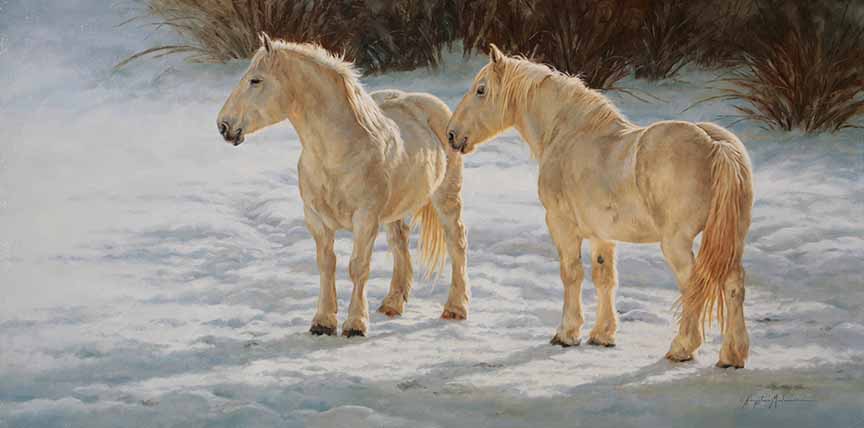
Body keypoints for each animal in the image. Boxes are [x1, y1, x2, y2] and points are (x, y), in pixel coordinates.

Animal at [217, 34, 470, 338]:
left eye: (255, 80)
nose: (223, 126)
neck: (338, 151)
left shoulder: (365, 219)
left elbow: (358, 267)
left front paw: (355, 324)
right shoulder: (316, 219)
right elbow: (327, 264)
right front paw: (323, 321)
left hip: (446, 196)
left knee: (457, 241)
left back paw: (455, 308)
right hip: (394, 212)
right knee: (400, 243)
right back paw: (392, 304)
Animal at [446, 45, 754, 368]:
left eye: (481, 90)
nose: (452, 135)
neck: (569, 134)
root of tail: (715, 145)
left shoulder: (562, 225)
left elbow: (571, 274)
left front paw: (567, 333)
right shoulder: (600, 235)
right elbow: (604, 278)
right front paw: (602, 335)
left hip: (677, 243)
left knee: (694, 285)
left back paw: (682, 348)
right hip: (731, 238)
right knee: (734, 285)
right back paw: (732, 356)